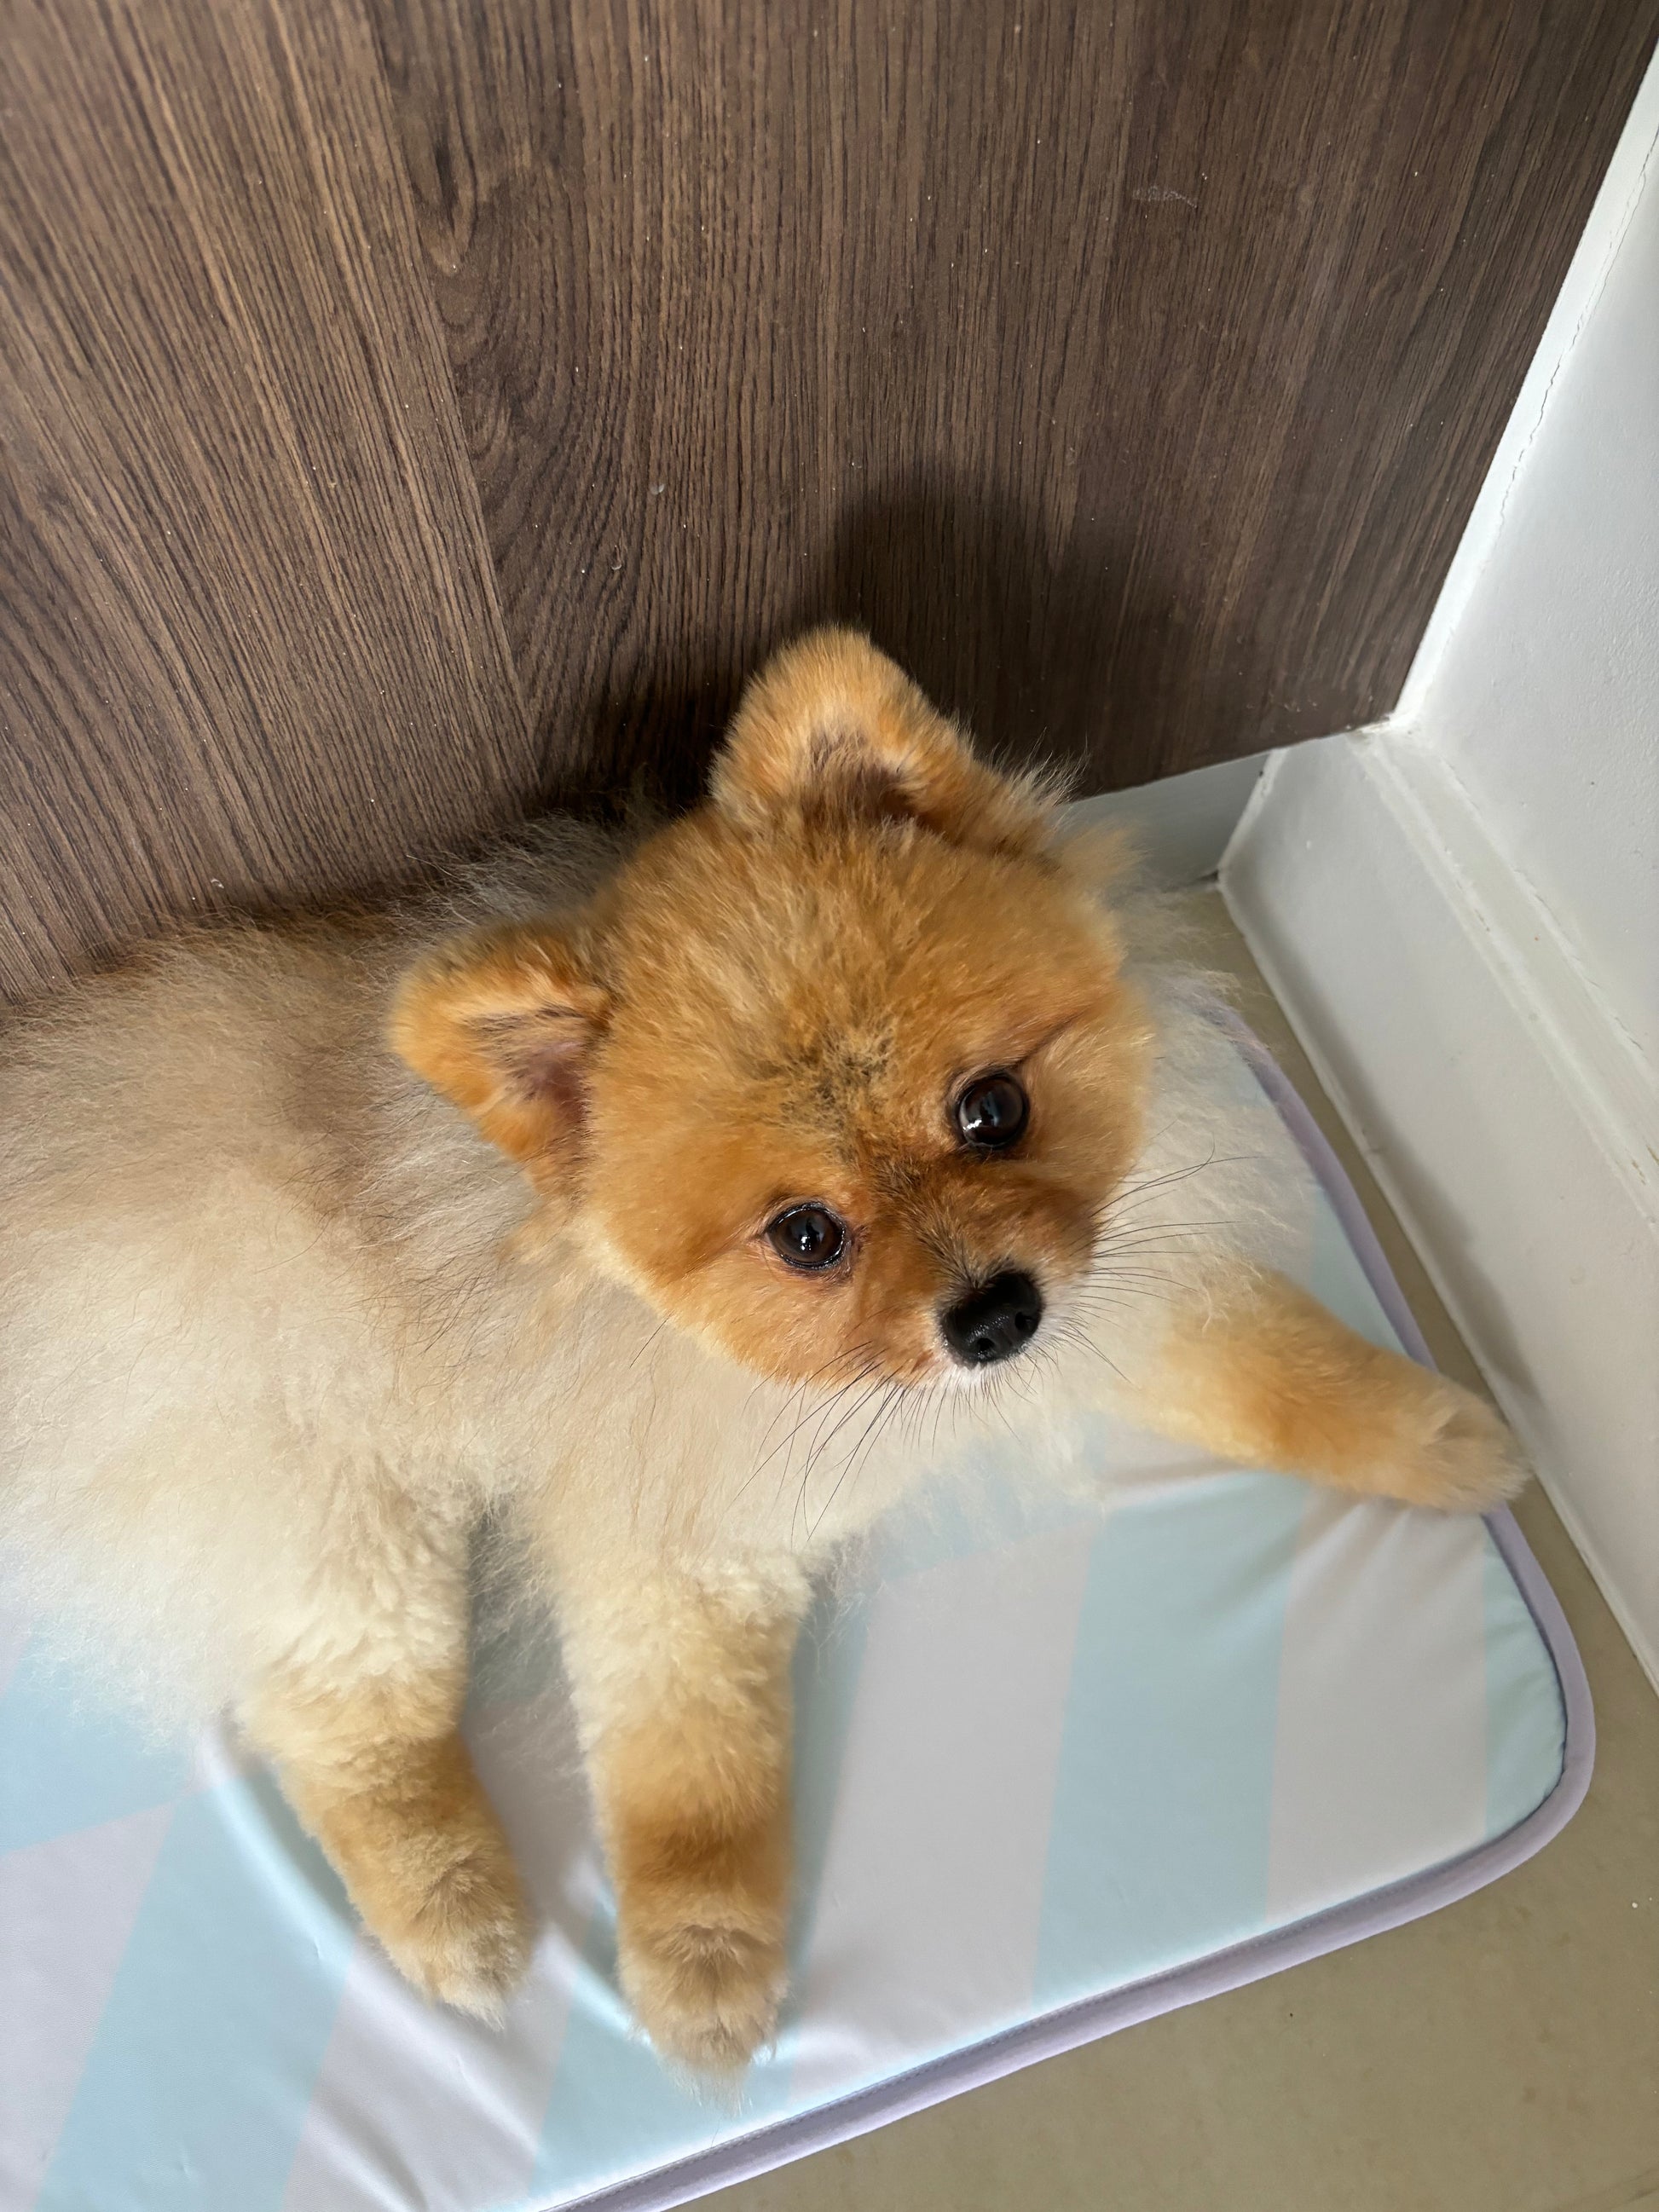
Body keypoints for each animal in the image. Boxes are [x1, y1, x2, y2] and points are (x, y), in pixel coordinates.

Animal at [0, 630, 1522, 2071]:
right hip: (341, 1498)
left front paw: (1445, 1434)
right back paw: (456, 1913)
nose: (989, 1315)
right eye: (804, 1236)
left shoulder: (1103, 1290)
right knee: (345, 1721)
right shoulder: (682, 1548)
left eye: (992, 1108)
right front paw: (704, 1967)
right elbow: (694, 1779)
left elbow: (1279, 1364)